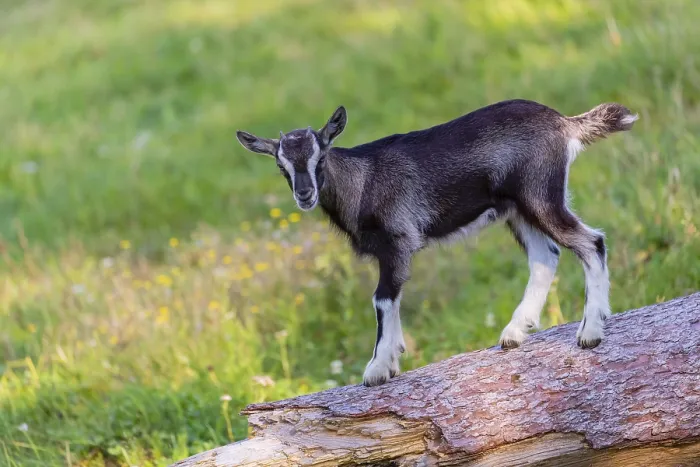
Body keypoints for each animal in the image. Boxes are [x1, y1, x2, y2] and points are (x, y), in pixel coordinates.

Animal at [236, 99, 638, 387]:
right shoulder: (392, 250)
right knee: (546, 256)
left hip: (540, 195)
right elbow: (393, 299)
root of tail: (564, 123)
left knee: (590, 242)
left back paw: (590, 332)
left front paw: (377, 368)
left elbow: (382, 299)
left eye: (320, 156)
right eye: (281, 165)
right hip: (518, 209)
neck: (363, 181)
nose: (304, 195)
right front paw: (394, 357)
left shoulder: (397, 240)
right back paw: (514, 333)